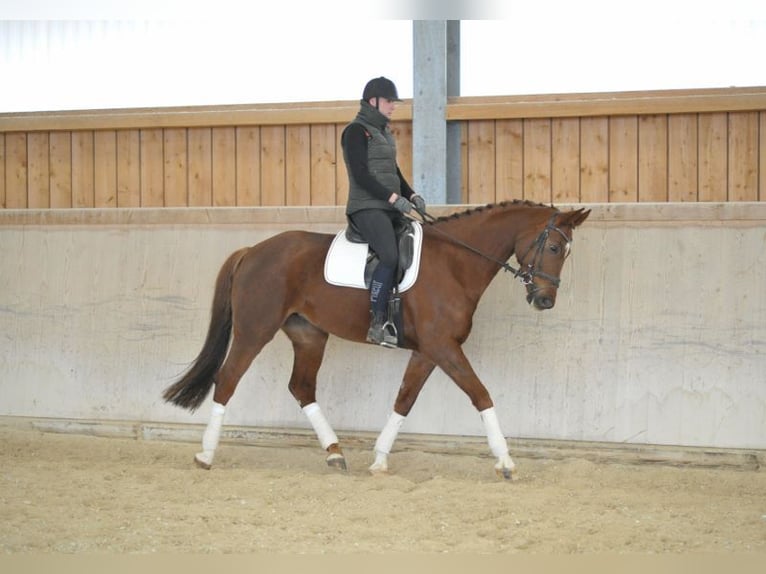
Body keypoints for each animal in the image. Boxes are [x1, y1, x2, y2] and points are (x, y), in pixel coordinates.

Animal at [165, 200, 592, 480]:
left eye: (568, 252)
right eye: (554, 247)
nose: (544, 300)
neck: (455, 263)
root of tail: (253, 250)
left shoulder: (429, 351)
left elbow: (404, 399)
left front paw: (380, 459)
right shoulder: (443, 347)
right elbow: (481, 394)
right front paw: (505, 461)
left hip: (308, 335)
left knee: (301, 387)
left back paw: (335, 455)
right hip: (256, 329)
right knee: (228, 380)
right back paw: (205, 455)